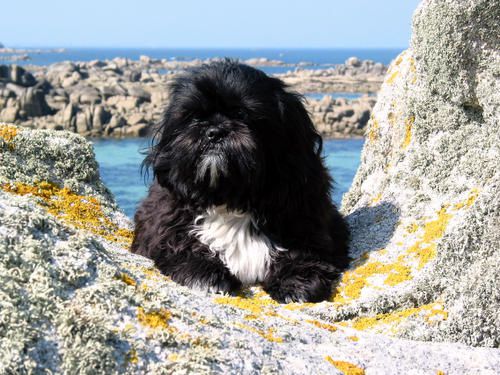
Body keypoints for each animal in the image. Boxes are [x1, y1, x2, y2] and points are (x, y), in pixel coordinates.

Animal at [133, 59, 352, 306]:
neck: (231, 198)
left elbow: (304, 251)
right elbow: (179, 246)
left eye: (241, 113)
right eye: (195, 117)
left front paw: (297, 282)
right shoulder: (164, 226)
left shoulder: (308, 218)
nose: (214, 131)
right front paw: (205, 274)